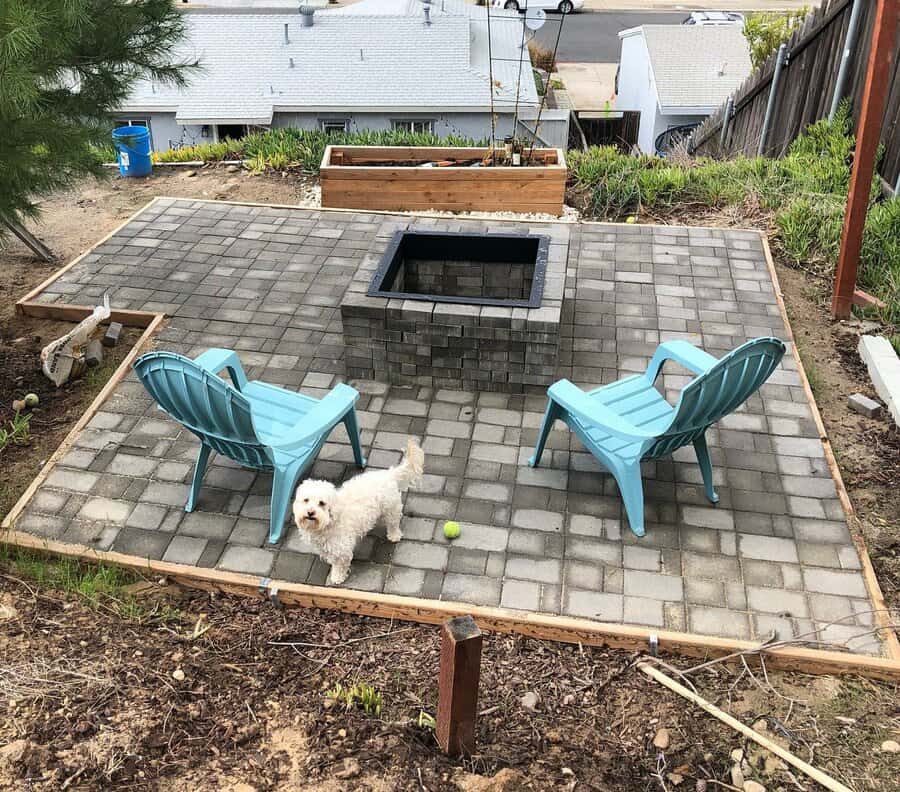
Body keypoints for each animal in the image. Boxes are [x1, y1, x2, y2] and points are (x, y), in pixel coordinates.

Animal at [292, 440, 426, 580]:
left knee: (393, 523)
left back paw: (394, 535)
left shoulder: (342, 548)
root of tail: (388, 474)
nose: (310, 512)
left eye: (322, 503)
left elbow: (339, 564)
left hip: (391, 509)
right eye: (306, 500)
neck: (329, 522)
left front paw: (337, 576)